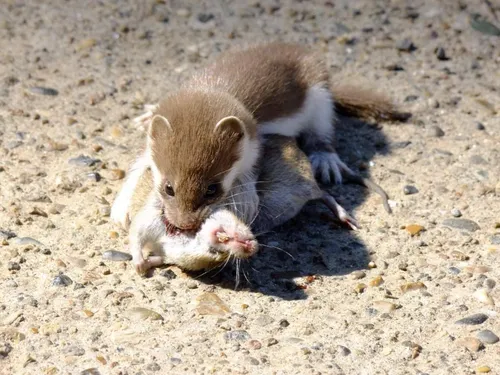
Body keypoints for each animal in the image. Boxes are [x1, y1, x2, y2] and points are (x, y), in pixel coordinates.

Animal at [111, 41, 408, 235]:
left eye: (212, 189)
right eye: (168, 187)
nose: (183, 224)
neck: (213, 90)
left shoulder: (256, 143)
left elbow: (251, 173)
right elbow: (139, 165)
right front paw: (121, 207)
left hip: (320, 95)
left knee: (323, 132)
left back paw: (326, 160)